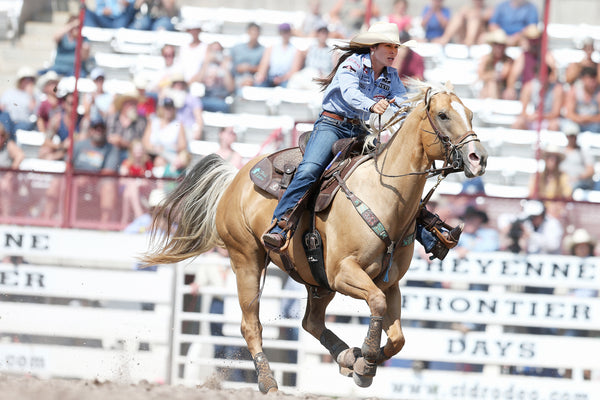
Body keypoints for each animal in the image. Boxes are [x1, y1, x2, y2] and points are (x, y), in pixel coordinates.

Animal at [144, 79, 488, 392]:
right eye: (443, 115)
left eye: (471, 113)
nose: (478, 158)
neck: (382, 194)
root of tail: (235, 178)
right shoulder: (344, 273)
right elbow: (376, 305)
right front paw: (366, 360)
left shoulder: (389, 284)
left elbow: (399, 338)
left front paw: (361, 362)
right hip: (247, 260)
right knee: (250, 324)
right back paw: (269, 381)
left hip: (316, 281)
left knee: (310, 321)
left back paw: (346, 356)